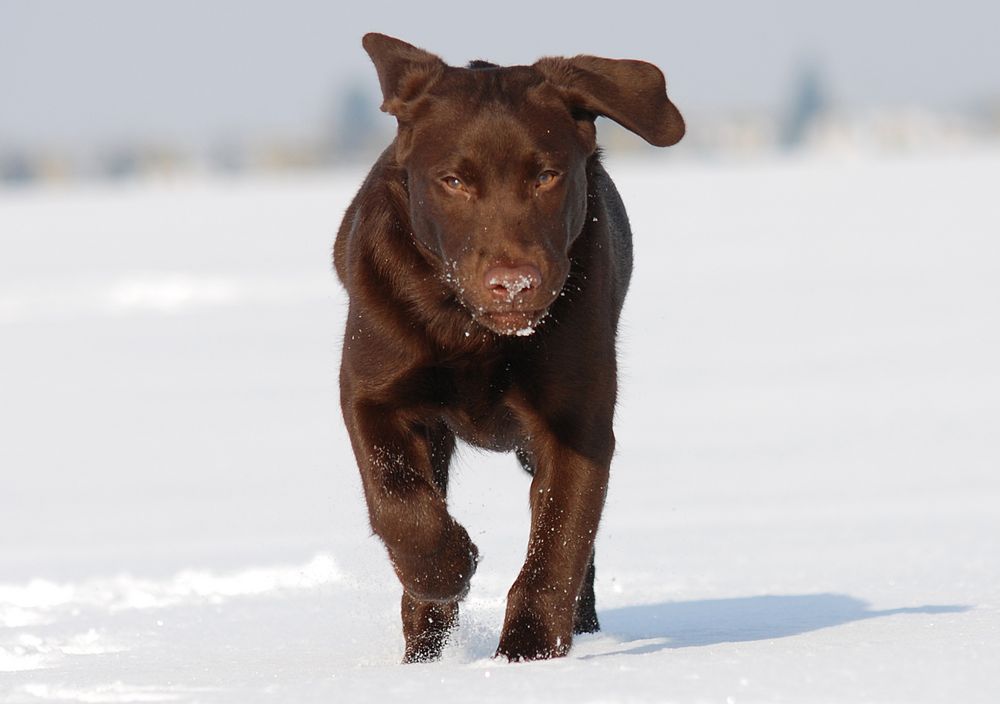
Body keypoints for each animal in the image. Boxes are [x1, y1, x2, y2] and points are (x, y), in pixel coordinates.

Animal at [332, 31, 684, 660]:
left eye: (546, 176)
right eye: (453, 181)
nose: (513, 282)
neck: (474, 332)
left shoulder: (576, 423)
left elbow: (559, 544)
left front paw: (525, 655)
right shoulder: (371, 392)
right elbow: (398, 502)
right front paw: (449, 568)